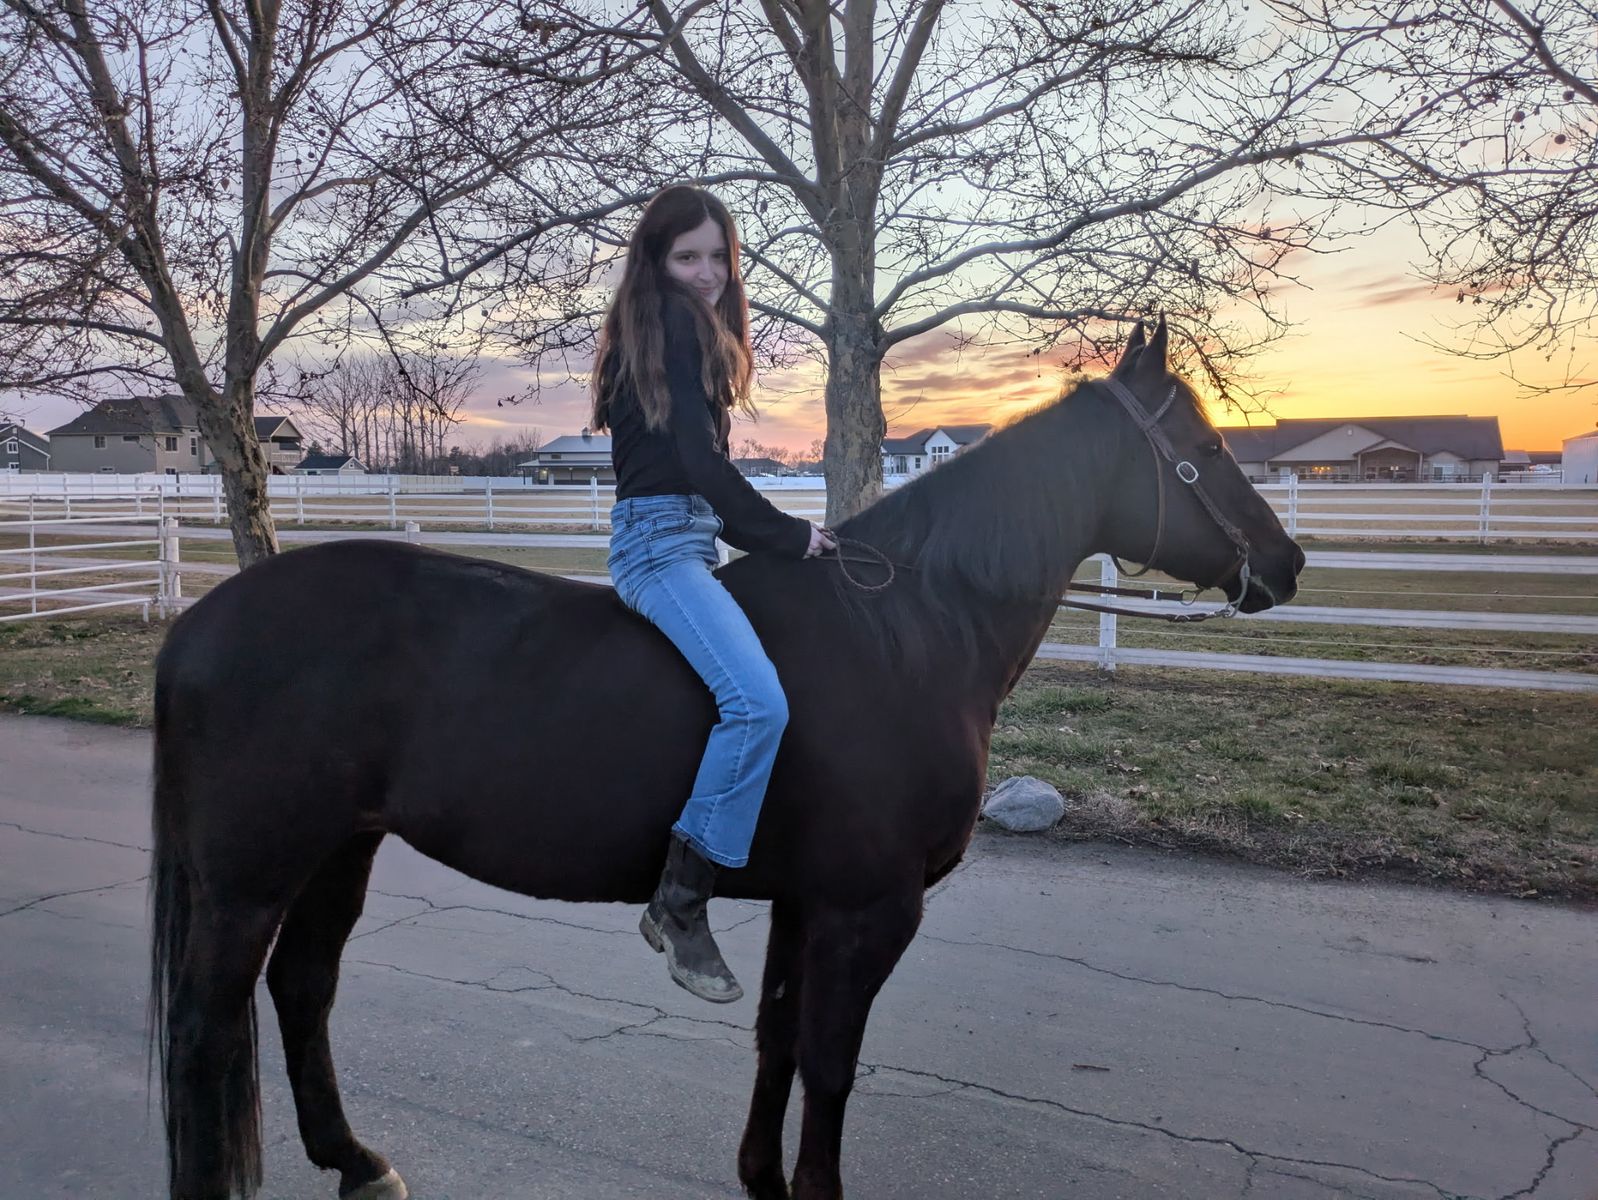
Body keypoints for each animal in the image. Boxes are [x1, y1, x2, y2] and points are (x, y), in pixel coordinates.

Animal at [148, 320, 1303, 1200]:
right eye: (1201, 441)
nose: (1285, 563)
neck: (907, 631)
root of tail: (204, 620)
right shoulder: (868, 909)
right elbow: (829, 1064)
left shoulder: (806, 902)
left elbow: (777, 1039)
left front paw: (761, 1179)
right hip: (252, 875)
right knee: (206, 1025)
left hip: (338, 850)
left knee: (300, 989)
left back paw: (354, 1160)